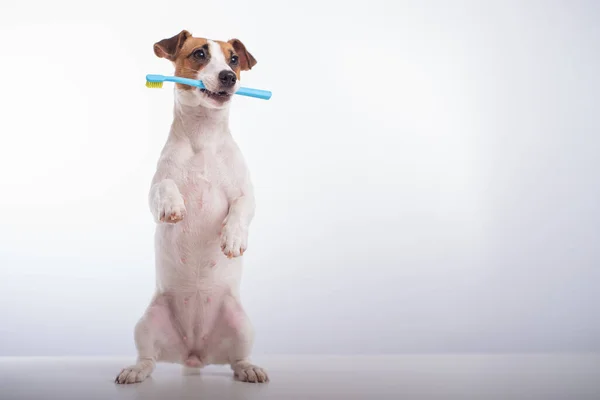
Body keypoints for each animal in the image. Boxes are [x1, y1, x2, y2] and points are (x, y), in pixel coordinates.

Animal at [116, 30, 266, 384]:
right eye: (199, 53)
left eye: (234, 60)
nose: (228, 76)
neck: (204, 135)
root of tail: (195, 354)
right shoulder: (156, 187)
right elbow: (164, 188)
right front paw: (173, 206)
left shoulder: (245, 194)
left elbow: (241, 209)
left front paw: (233, 239)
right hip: (147, 324)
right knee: (149, 358)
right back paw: (135, 371)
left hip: (242, 325)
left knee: (238, 359)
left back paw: (249, 369)